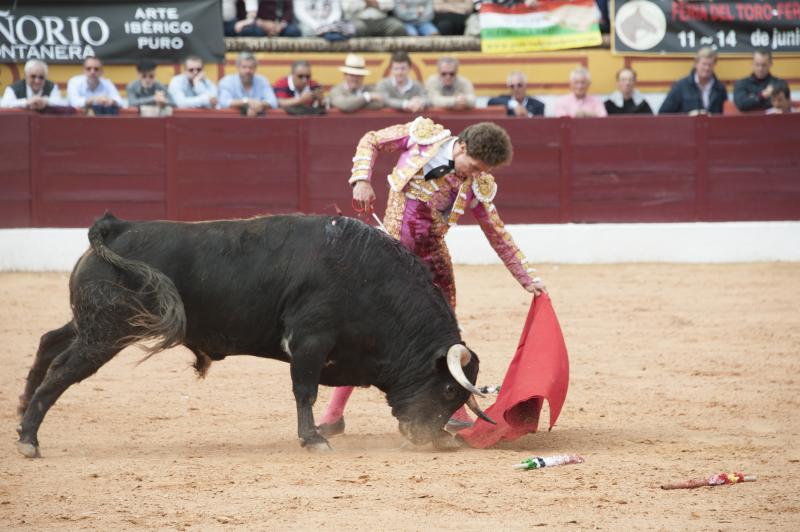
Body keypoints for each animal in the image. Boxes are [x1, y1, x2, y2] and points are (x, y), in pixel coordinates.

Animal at [17, 212, 494, 458]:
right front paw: (313, 439)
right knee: (62, 370)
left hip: (93, 323)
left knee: (49, 343)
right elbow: (305, 390)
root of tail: (114, 229)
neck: (367, 278)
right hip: (106, 332)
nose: (437, 440)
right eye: (448, 390)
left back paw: (22, 414)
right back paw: (28, 439)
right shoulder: (310, 340)